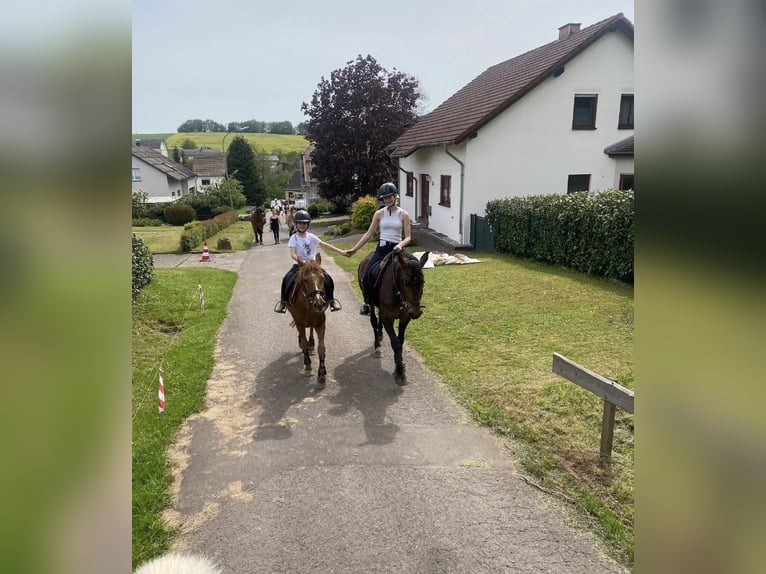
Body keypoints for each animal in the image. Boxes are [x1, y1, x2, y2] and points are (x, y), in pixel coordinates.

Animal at [284, 255, 328, 388]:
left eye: (322, 277)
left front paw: (321, 375)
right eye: (304, 280)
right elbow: (303, 343)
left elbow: (321, 348)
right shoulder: (299, 323)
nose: (319, 304)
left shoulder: (321, 323)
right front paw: (308, 366)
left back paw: (312, 344)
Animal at [356, 252, 428, 388]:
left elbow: (400, 340)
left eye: (423, 282)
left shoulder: (405, 317)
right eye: (405, 282)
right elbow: (395, 342)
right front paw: (400, 371)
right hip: (371, 303)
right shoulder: (387, 317)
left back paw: (380, 334)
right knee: (374, 321)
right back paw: (377, 347)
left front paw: (399, 364)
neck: (397, 291)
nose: (415, 312)